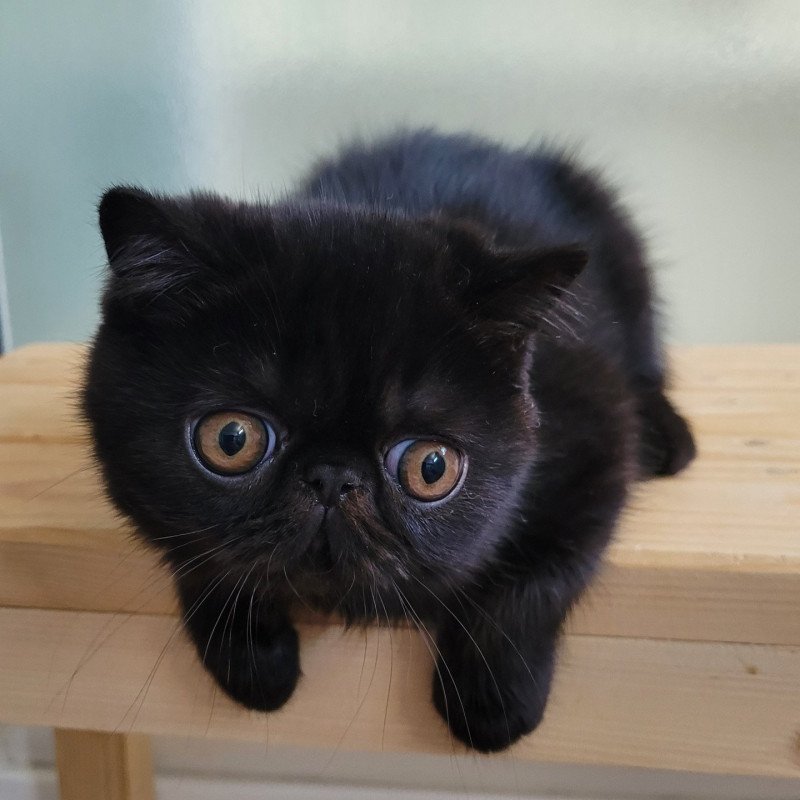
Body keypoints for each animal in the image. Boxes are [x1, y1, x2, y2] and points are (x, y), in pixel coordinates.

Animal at [83, 130, 692, 752]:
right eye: (232, 440)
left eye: (431, 467)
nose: (332, 478)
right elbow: (201, 552)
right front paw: (253, 659)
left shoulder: (597, 434)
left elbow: (540, 572)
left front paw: (493, 699)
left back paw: (668, 440)